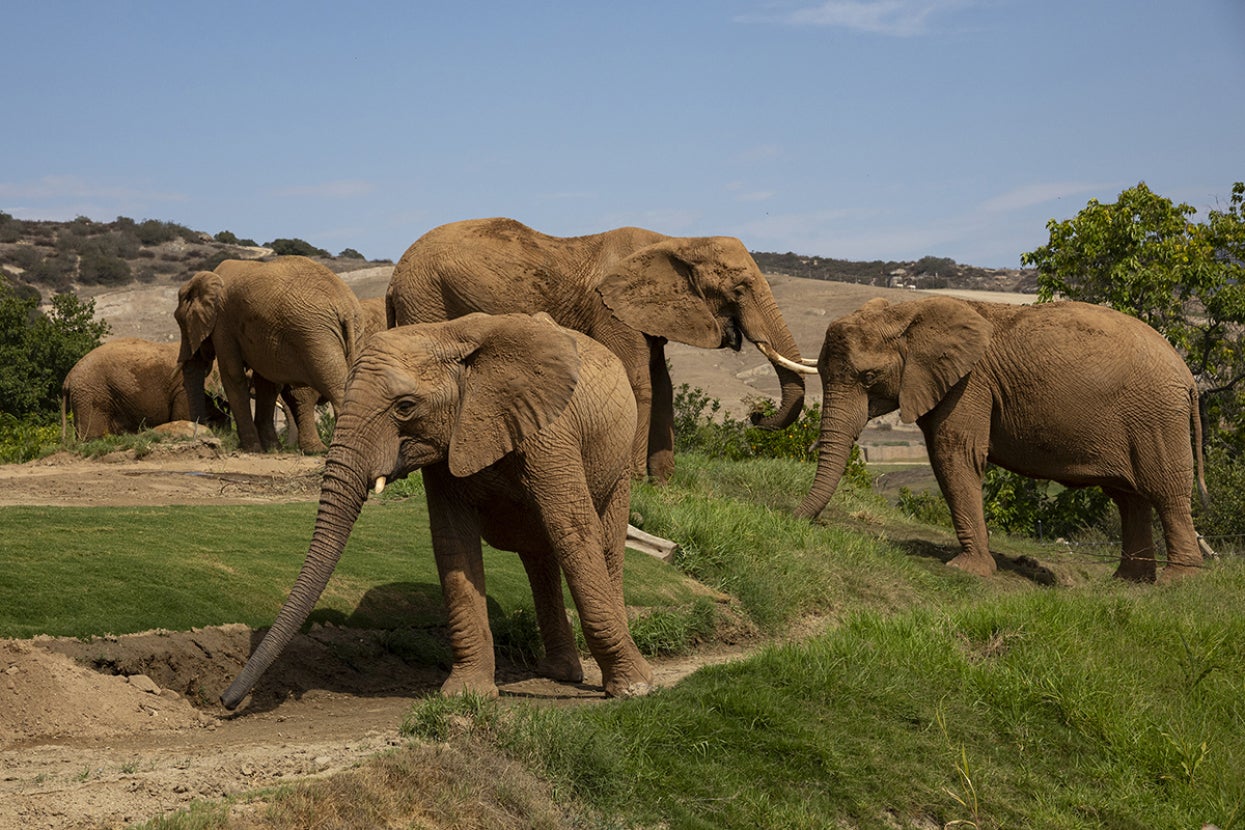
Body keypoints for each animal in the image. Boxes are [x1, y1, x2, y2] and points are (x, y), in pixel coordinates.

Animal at [175, 256, 365, 454]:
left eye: (180, 321)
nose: (203, 431)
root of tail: (346, 309)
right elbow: (266, 384)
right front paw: (273, 448)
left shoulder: (223, 325)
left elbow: (233, 376)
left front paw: (251, 448)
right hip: (350, 332)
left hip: (315, 336)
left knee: (336, 389)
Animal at [220, 312, 654, 709]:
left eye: (405, 406)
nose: (227, 702)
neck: (449, 335)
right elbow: (453, 543)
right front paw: (465, 694)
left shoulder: (550, 431)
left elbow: (573, 531)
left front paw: (634, 689)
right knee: (538, 556)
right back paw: (558, 672)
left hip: (617, 460)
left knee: (603, 544)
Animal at [385, 217, 807, 482]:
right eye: (740, 288)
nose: (755, 415)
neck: (676, 240)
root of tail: (395, 274)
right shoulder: (610, 311)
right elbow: (640, 384)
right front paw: (636, 481)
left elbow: (664, 387)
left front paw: (664, 485)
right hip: (426, 296)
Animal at [791, 296, 1206, 582]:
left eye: (869, 376)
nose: (791, 519)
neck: (907, 312)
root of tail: (1187, 375)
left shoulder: (970, 383)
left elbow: (954, 453)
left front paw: (966, 570)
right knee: (1129, 498)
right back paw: (1129, 583)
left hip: (1156, 416)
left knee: (1165, 490)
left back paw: (1177, 581)